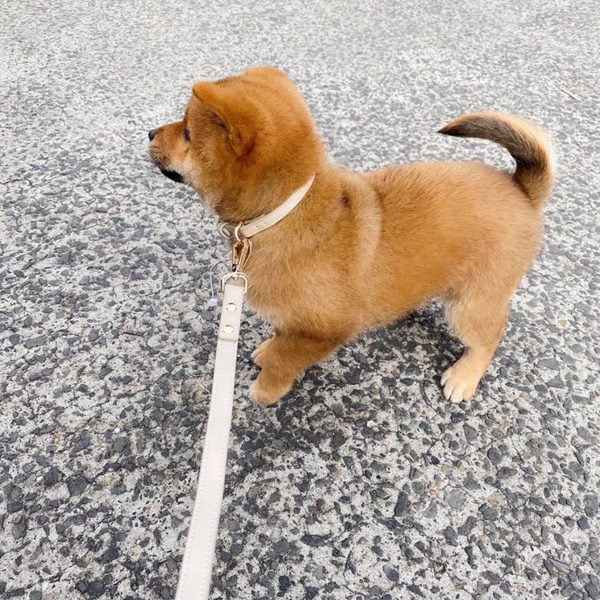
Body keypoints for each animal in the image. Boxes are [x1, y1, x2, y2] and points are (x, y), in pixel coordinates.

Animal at [149, 65, 552, 406]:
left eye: (187, 132)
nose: (149, 132)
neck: (283, 213)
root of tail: (520, 189)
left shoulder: (324, 331)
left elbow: (285, 358)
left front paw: (266, 389)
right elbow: (281, 338)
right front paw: (268, 349)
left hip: (470, 304)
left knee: (490, 335)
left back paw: (465, 376)